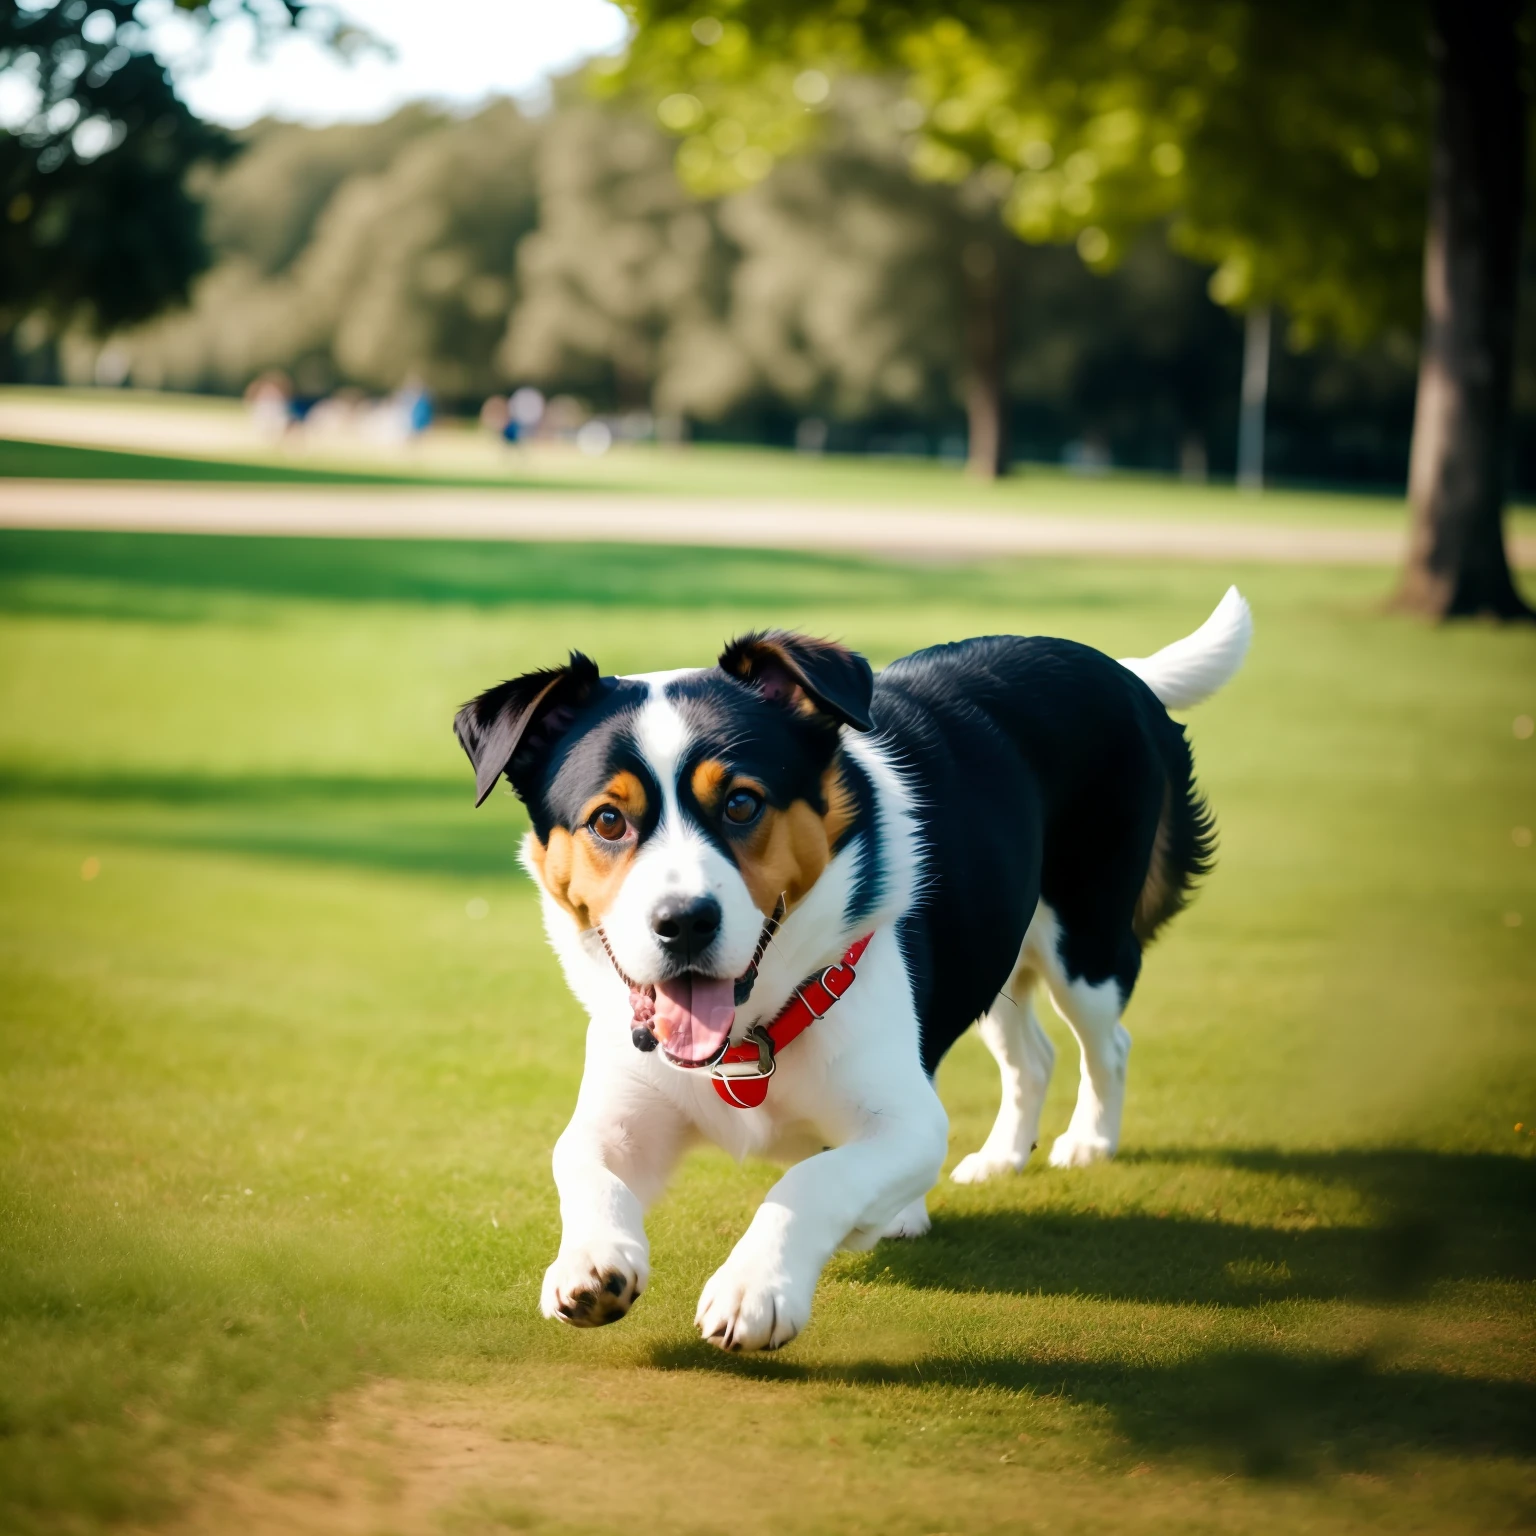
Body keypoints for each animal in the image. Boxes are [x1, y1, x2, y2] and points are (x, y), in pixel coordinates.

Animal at [451, 589, 1247, 1357]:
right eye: (609, 821)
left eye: (742, 802)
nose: (684, 921)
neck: (747, 1039)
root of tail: (1119, 670)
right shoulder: (624, 1106)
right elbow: (578, 1161)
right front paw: (588, 1261)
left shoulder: (910, 1124)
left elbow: (815, 1177)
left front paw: (756, 1286)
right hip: (992, 949)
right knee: (1033, 1053)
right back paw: (998, 1158)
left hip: (1085, 942)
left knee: (1105, 1043)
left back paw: (1087, 1142)